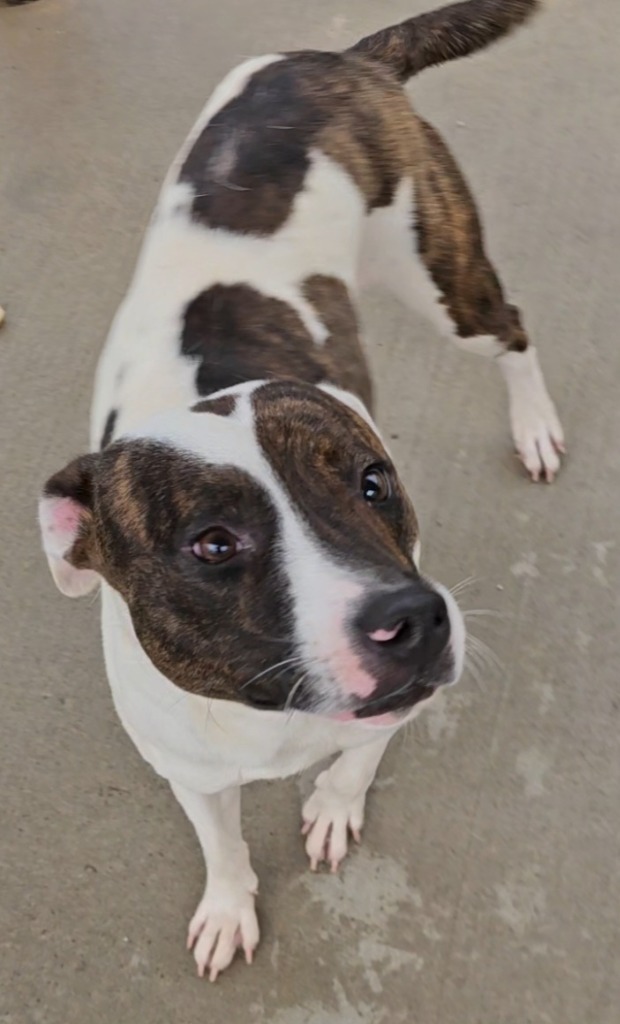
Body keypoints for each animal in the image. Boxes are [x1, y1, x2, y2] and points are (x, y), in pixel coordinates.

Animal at [37, 0, 561, 978]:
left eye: (373, 482)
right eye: (213, 543)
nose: (414, 619)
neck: (273, 711)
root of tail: (340, 58)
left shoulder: (390, 709)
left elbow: (357, 759)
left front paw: (331, 806)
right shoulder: (191, 772)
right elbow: (222, 843)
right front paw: (228, 906)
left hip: (441, 274)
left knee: (509, 330)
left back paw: (535, 423)